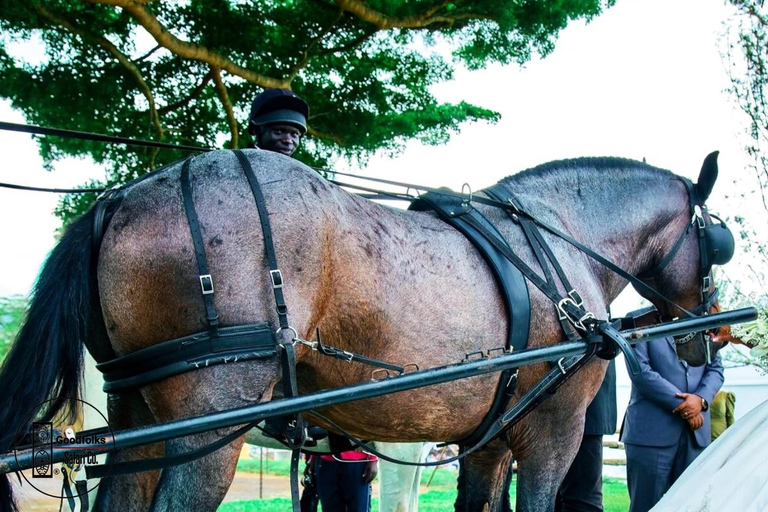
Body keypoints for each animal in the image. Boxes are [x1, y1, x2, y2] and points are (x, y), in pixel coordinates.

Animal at [0, 146, 728, 510]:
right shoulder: (555, 431)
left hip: (138, 411)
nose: (706, 335)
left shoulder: (488, 439)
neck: (554, 246)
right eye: (719, 242)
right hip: (209, 422)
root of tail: (121, 198)